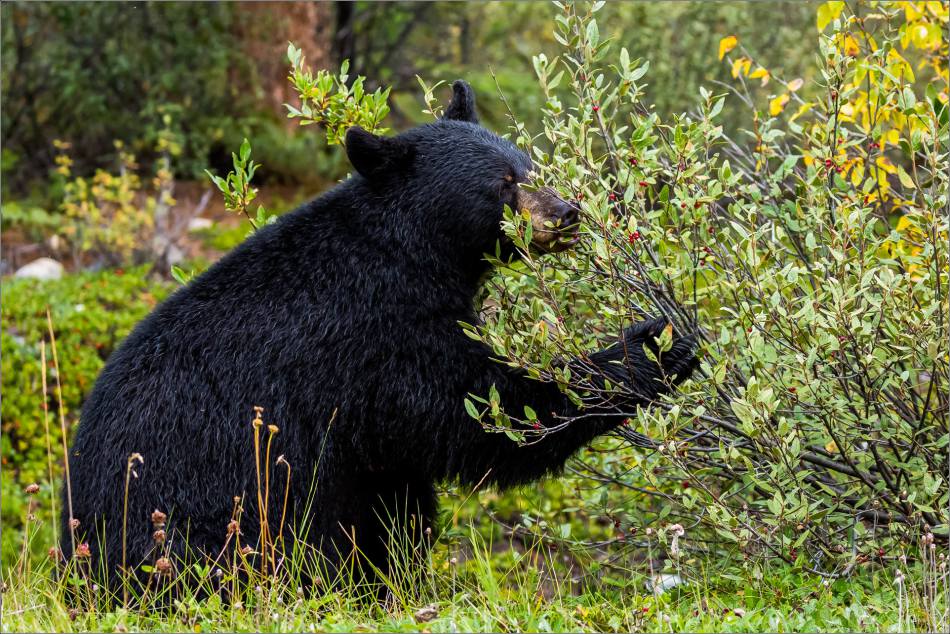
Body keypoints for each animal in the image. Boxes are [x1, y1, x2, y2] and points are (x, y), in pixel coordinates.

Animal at [62, 80, 698, 593]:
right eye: (502, 184)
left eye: (530, 165)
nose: (566, 214)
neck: (405, 252)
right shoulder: (375, 336)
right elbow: (485, 410)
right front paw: (656, 343)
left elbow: (398, 494)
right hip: (195, 511)